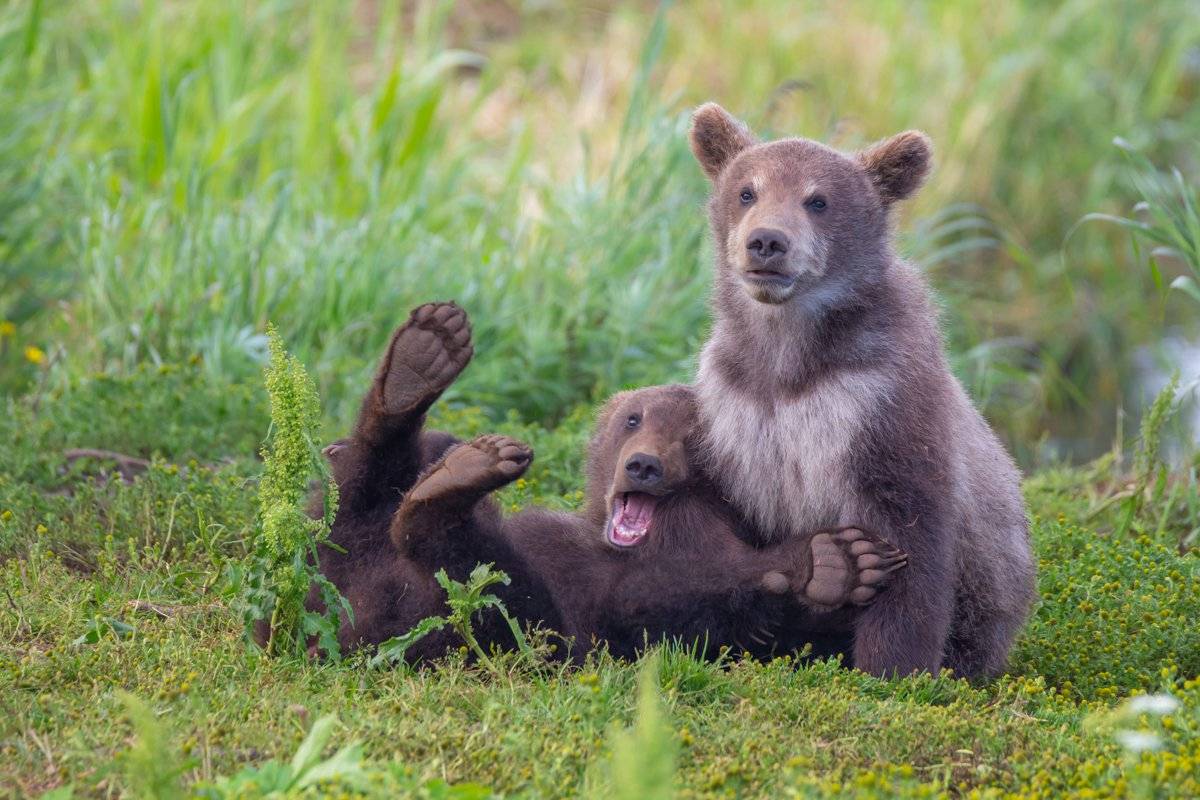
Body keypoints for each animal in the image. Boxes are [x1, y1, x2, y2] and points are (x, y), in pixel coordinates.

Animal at [304, 303, 902, 662]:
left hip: (445, 623)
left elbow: (672, 607)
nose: (643, 466)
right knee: (354, 498)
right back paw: (421, 362)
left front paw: (833, 563)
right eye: (634, 419)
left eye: (694, 438)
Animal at [691, 103, 1036, 681]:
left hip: (994, 582)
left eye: (818, 200)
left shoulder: (878, 401)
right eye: (747, 191)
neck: (790, 360)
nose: (767, 242)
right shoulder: (736, 411)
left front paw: (893, 666)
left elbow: (910, 537)